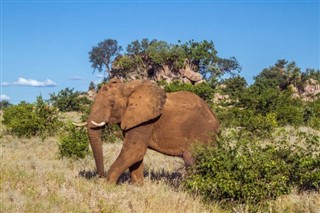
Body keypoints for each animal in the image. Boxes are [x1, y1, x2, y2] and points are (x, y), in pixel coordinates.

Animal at [75, 78, 220, 185]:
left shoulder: (145, 121)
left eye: (112, 104)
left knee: (191, 160)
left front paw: (107, 186)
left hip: (202, 131)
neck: (127, 88)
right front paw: (137, 187)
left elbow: (134, 151)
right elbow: (136, 155)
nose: (100, 176)